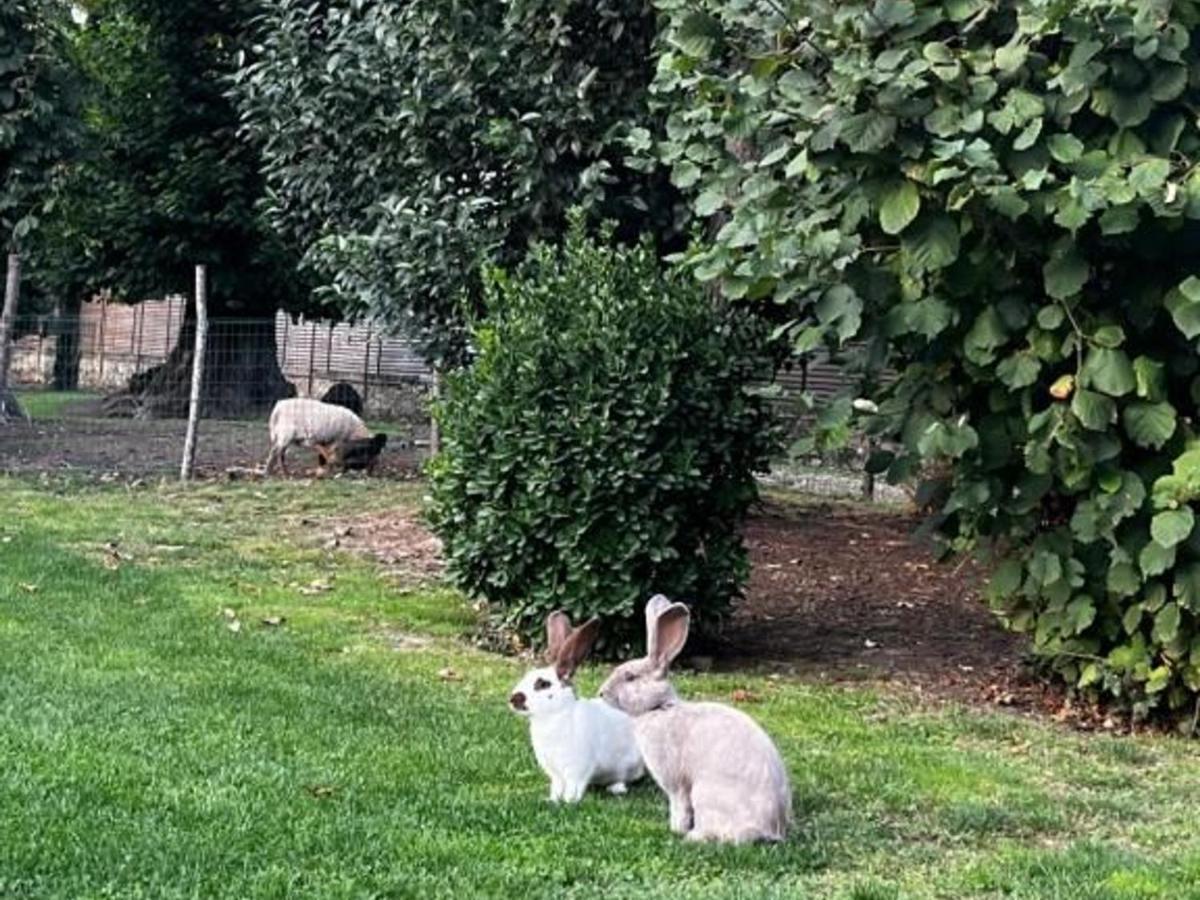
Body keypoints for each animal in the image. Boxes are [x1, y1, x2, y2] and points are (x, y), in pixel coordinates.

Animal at [508, 614, 648, 801]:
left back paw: (616, 788)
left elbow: (573, 787)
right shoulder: (555, 773)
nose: (513, 699)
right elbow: (556, 787)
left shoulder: (577, 770)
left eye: (543, 684)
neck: (555, 715)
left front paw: (569, 801)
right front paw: (552, 800)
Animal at [597, 600, 787, 844]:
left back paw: (691, 837)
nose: (601, 693)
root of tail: (770, 828)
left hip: (705, 795)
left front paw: (675, 829)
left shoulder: (675, 783)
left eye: (630, 677)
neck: (658, 708)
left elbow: (679, 805)